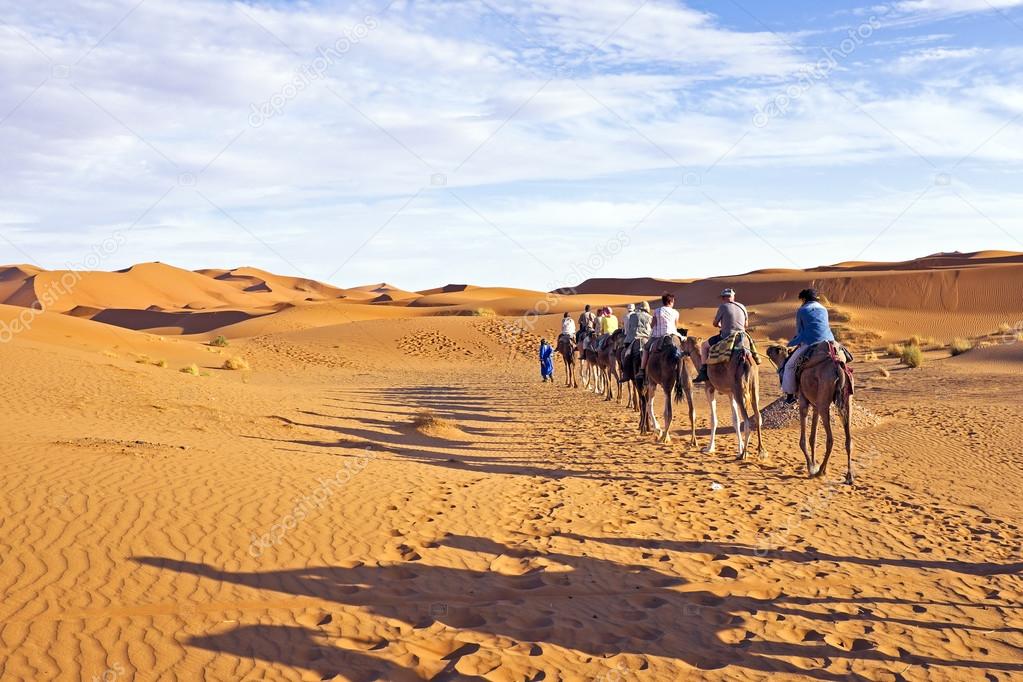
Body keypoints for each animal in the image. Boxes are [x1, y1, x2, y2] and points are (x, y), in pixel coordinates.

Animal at [769, 343, 855, 482]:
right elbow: (813, 438)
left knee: (830, 439)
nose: (768, 348)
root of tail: (838, 367)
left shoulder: (803, 401)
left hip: (824, 401)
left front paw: (811, 467)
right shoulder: (815, 405)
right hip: (846, 401)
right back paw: (849, 476)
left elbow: (803, 441)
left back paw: (821, 471)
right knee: (848, 439)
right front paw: (814, 463)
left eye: (778, 349)